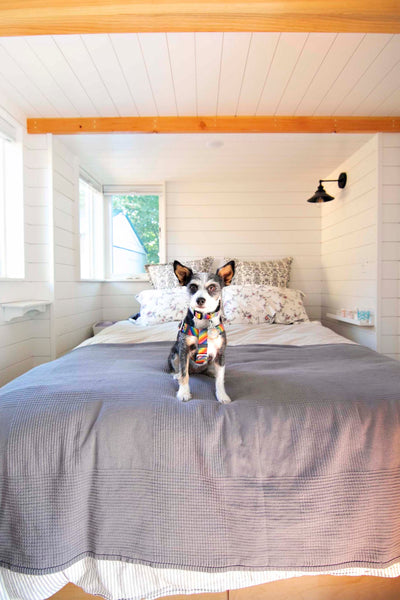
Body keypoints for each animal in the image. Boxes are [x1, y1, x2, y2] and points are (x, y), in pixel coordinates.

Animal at [166, 258, 234, 404]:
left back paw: (212, 372)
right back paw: (176, 375)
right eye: (193, 287)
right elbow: (184, 375)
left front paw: (222, 395)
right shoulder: (184, 350)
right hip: (174, 353)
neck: (204, 319)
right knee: (180, 370)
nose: (200, 299)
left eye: (212, 287)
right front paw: (183, 393)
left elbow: (220, 380)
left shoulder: (220, 353)